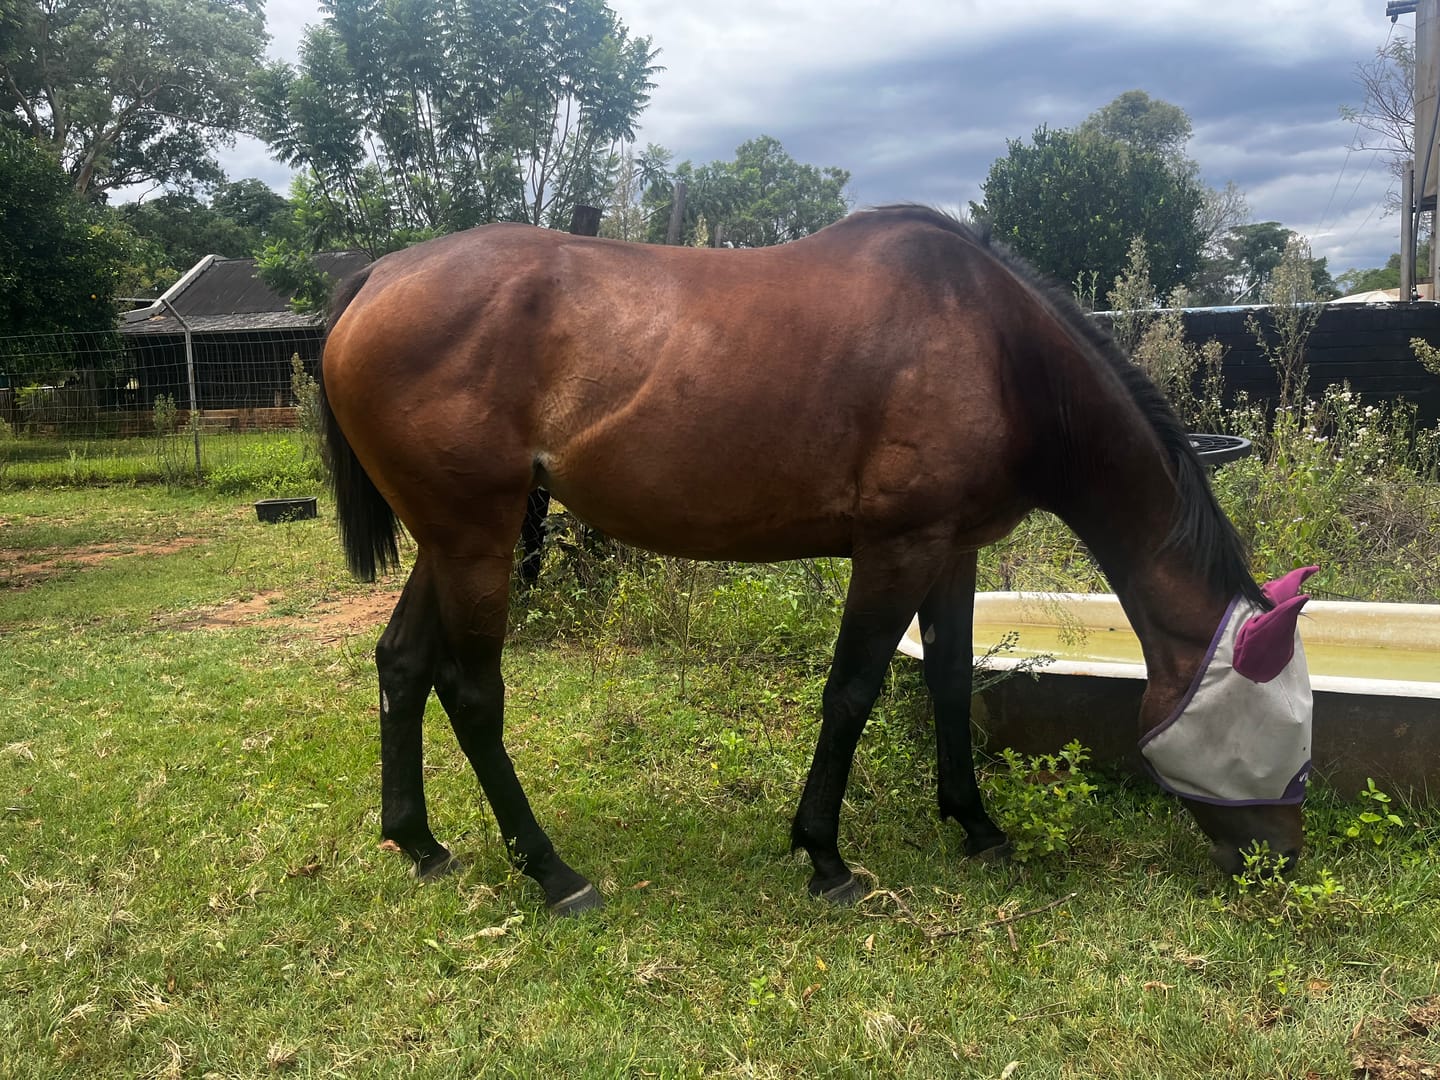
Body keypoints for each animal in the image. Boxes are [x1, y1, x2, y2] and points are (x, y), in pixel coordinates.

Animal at [319, 205, 1309, 915]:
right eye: (1289, 738)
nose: (1281, 863)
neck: (994, 345)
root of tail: (379, 274)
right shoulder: (896, 550)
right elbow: (852, 691)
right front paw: (825, 854)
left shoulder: (950, 552)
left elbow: (952, 678)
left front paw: (975, 823)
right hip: (476, 539)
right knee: (471, 691)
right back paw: (553, 872)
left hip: (451, 539)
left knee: (402, 662)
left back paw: (419, 843)